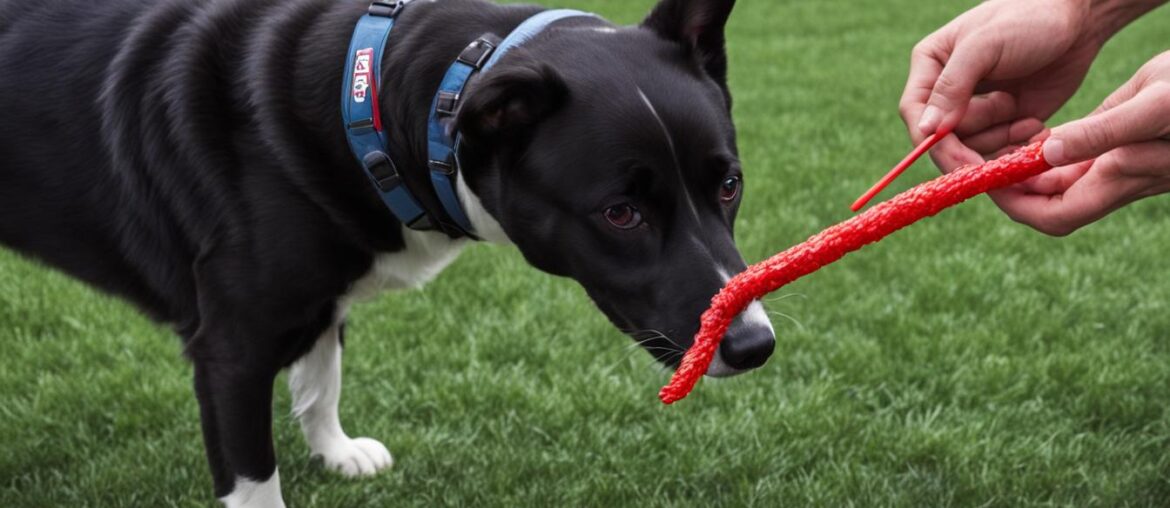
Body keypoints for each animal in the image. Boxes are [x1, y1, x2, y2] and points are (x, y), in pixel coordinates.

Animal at [0, 0, 776, 503]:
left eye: (729, 185)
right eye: (621, 213)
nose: (754, 345)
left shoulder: (323, 293)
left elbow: (322, 373)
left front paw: (336, 453)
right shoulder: (231, 349)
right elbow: (254, 475)